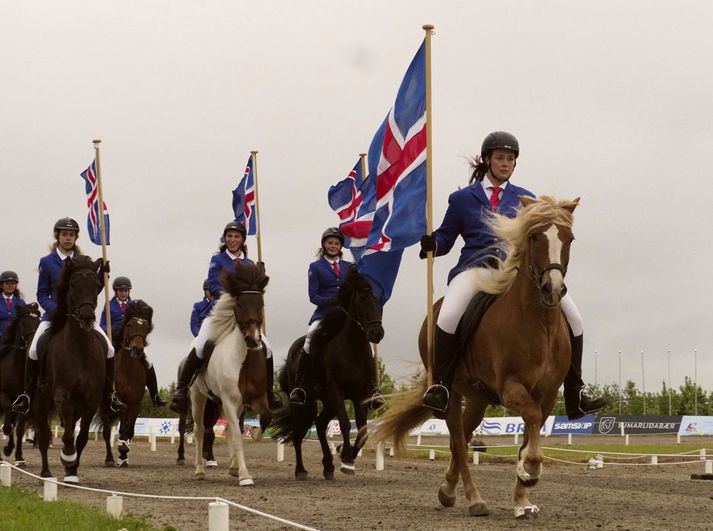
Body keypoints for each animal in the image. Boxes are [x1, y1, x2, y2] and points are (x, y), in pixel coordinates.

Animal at [34, 256, 107, 484]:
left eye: (97, 285)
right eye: (73, 284)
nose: (86, 317)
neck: (79, 349)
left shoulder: (91, 399)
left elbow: (81, 437)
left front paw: (72, 471)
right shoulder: (62, 395)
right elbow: (66, 435)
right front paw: (67, 456)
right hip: (42, 400)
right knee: (44, 435)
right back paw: (45, 473)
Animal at [100, 302, 153, 468]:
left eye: (146, 328)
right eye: (129, 325)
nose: (137, 349)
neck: (127, 370)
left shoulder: (135, 403)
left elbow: (130, 429)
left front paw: (124, 453)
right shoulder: (119, 401)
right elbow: (121, 425)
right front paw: (121, 448)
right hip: (104, 406)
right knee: (106, 432)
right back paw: (109, 459)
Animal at [270, 268, 384, 480]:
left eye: (378, 304)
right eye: (362, 301)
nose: (377, 333)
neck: (353, 350)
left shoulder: (360, 395)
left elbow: (362, 431)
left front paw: (345, 454)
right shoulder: (336, 390)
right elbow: (346, 424)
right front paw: (346, 459)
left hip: (328, 401)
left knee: (321, 424)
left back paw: (328, 466)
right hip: (305, 401)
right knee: (298, 433)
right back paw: (301, 470)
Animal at [372, 194, 580, 520]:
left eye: (569, 238)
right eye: (534, 237)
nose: (553, 289)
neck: (539, 323)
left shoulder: (546, 394)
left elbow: (531, 428)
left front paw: (522, 498)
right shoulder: (510, 388)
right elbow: (531, 420)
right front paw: (530, 470)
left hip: (477, 397)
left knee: (465, 435)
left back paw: (448, 489)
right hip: (451, 394)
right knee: (458, 440)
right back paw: (473, 499)